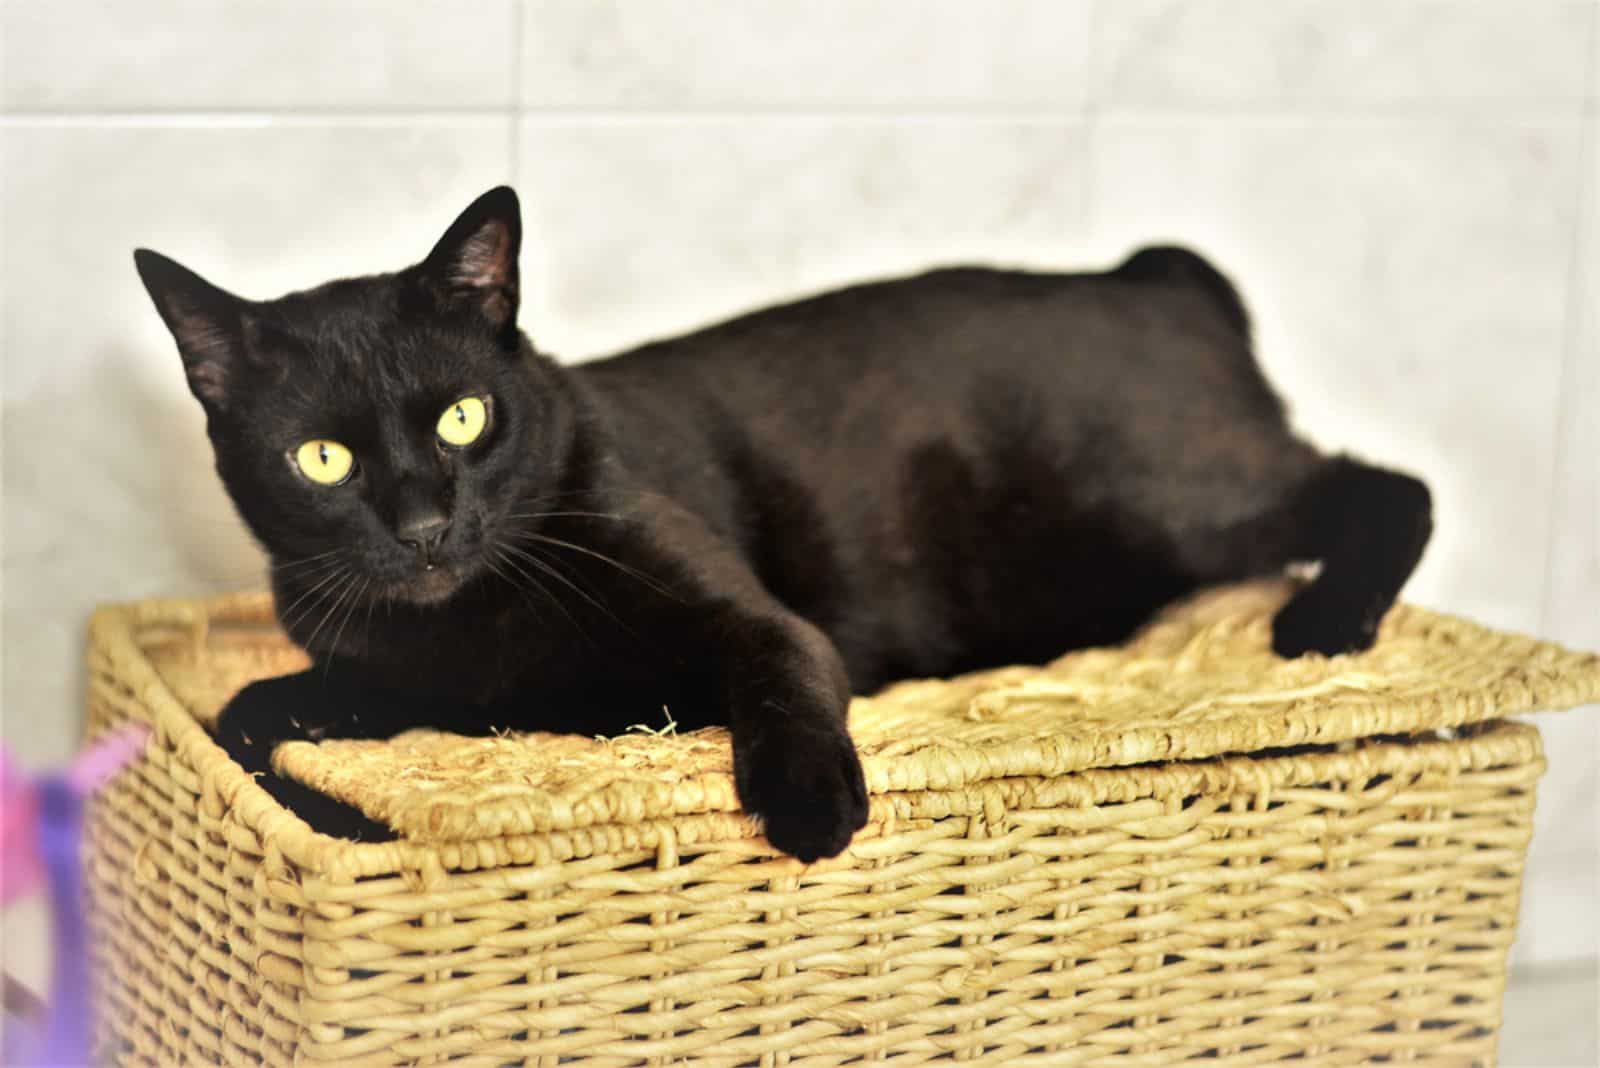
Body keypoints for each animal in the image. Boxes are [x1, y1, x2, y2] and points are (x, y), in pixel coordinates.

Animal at [134, 187, 1440, 863]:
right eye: (322, 459)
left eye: (464, 416)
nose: (421, 522)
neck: (472, 621)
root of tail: (1142, 277)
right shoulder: (422, 684)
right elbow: (253, 712)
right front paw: (291, 761)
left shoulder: (756, 624)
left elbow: (783, 677)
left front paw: (810, 803)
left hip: (1167, 505)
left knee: (1385, 484)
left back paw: (1326, 622)